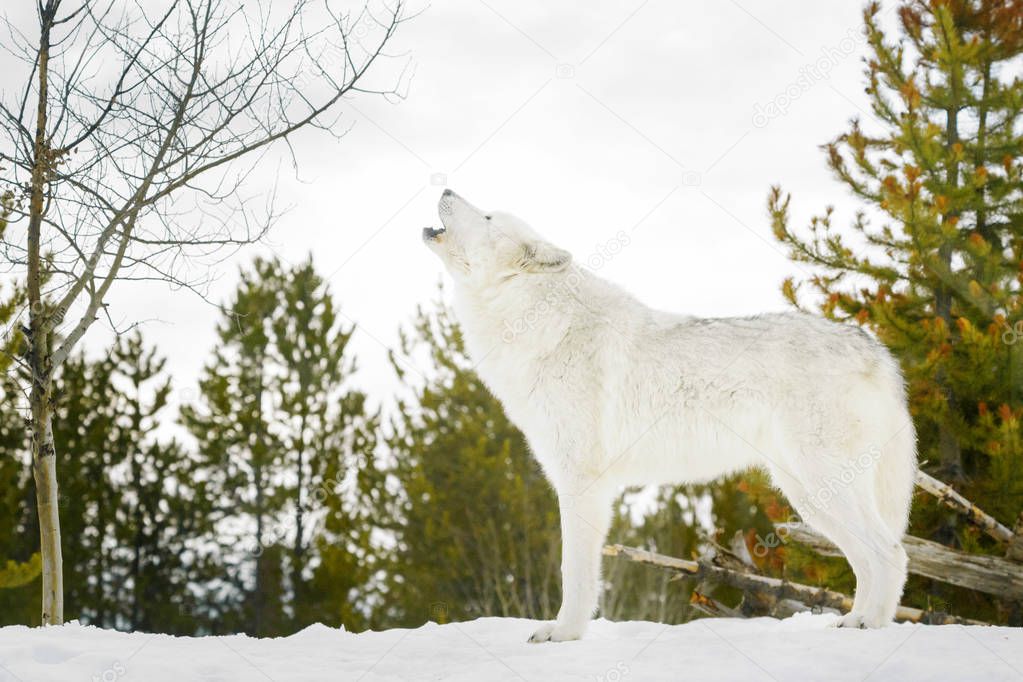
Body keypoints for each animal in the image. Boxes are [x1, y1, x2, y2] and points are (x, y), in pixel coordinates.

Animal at [419, 189, 916, 642]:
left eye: (487, 216)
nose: (444, 188)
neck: (537, 323)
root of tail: (875, 348)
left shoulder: (582, 484)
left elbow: (572, 571)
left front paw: (564, 634)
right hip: (810, 499)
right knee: (868, 561)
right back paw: (854, 622)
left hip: (823, 488)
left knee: (892, 553)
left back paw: (871, 625)